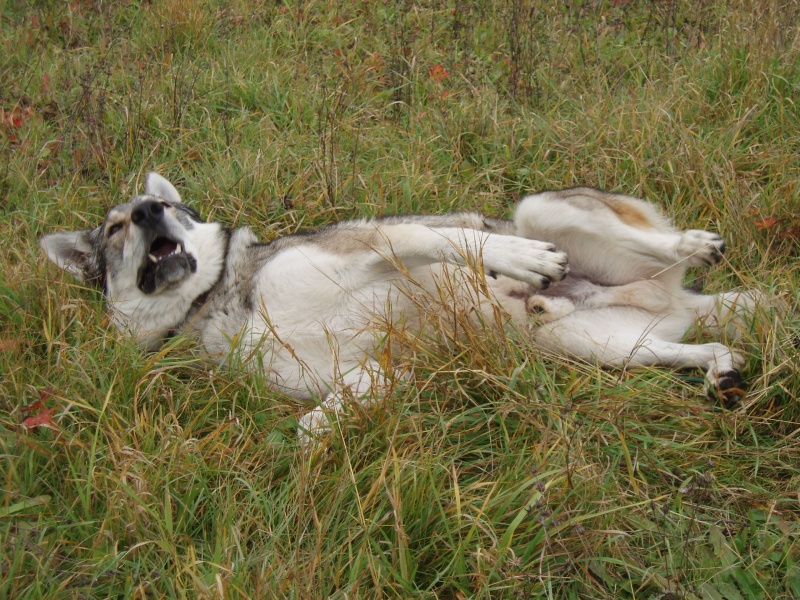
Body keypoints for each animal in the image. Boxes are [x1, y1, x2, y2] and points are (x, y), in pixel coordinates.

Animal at [39, 172, 764, 436]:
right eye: (115, 229)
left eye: (159, 209)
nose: (147, 210)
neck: (218, 300)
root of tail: (679, 296)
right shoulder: (373, 371)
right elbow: (310, 427)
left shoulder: (373, 243)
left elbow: (443, 238)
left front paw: (520, 262)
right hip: (602, 346)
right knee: (706, 344)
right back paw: (720, 372)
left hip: (545, 210)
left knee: (663, 245)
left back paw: (694, 244)